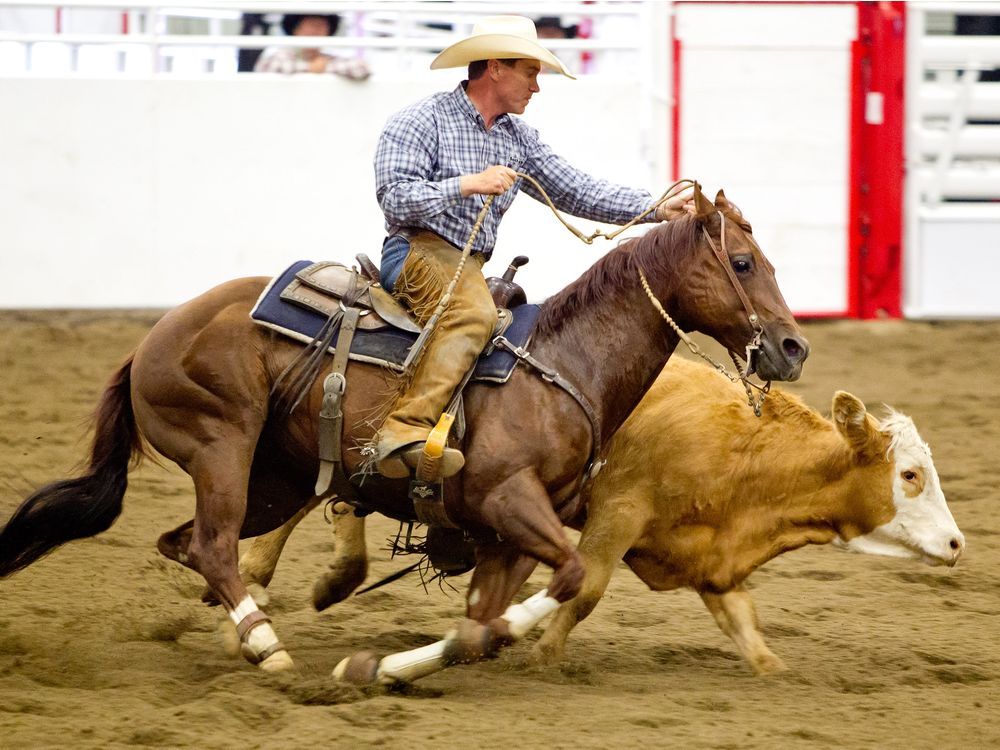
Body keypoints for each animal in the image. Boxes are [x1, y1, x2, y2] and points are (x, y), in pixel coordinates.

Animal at [0, 187, 808, 676]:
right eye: (742, 262)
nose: (794, 347)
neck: (562, 363)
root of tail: (152, 338)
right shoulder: (507, 500)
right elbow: (570, 577)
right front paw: (384, 664)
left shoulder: (506, 534)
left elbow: (485, 624)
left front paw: (397, 665)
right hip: (220, 447)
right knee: (212, 546)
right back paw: (269, 648)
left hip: (272, 478)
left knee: (188, 544)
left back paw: (243, 633)